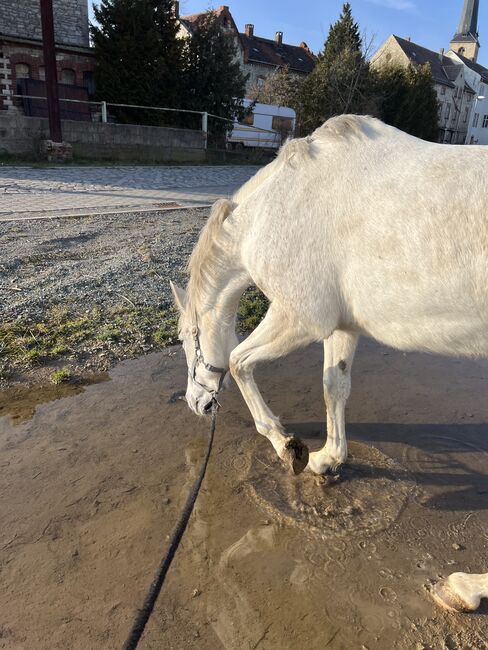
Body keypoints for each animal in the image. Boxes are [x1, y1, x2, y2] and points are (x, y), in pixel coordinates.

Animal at [171, 115, 488, 612]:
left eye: (188, 339)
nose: (196, 403)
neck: (272, 213)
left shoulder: (300, 317)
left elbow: (240, 363)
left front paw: (289, 447)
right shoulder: (341, 325)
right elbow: (333, 387)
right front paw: (326, 459)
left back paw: (465, 588)